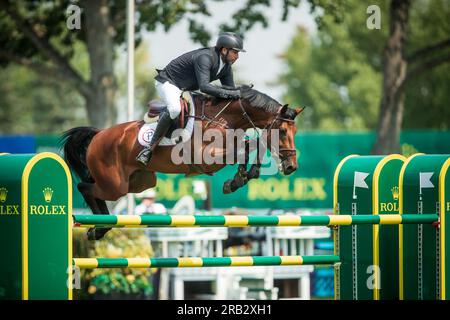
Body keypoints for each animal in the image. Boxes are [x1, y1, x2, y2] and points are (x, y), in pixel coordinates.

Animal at [61, 86, 302, 239]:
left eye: (295, 131)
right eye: (282, 131)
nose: (291, 167)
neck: (223, 118)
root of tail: (99, 134)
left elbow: (250, 146)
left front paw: (241, 177)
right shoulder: (207, 158)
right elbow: (245, 147)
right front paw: (237, 180)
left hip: (139, 182)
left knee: (96, 191)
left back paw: (99, 228)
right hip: (115, 184)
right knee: (85, 187)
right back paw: (99, 227)